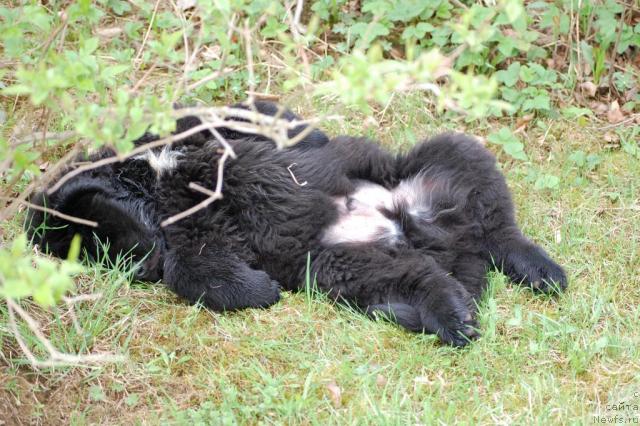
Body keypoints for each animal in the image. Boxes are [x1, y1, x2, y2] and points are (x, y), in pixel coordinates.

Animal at [26, 102, 564, 346]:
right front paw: (261, 290)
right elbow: (196, 272)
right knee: (428, 277)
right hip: (349, 265)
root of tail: (433, 237)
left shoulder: (183, 129)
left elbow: (250, 113)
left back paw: (540, 270)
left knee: (498, 227)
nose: (138, 268)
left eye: (98, 239)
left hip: (448, 155)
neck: (150, 184)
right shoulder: (194, 240)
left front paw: (309, 136)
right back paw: (455, 313)